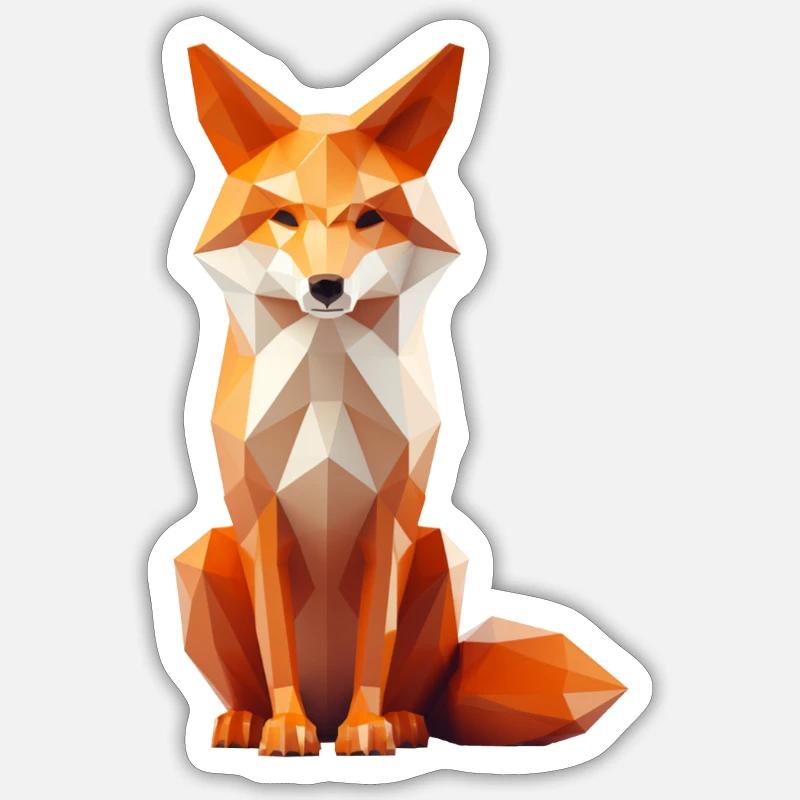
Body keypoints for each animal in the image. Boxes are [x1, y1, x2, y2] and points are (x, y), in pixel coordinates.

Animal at [174, 40, 627, 757]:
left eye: (367, 217)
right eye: (284, 217)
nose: (326, 286)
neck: (324, 398)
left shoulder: (391, 523)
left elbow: (373, 650)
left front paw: (369, 727)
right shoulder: (259, 522)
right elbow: (277, 649)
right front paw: (285, 727)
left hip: (441, 551)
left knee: (419, 695)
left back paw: (403, 722)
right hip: (198, 554)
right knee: (250, 684)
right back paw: (245, 721)